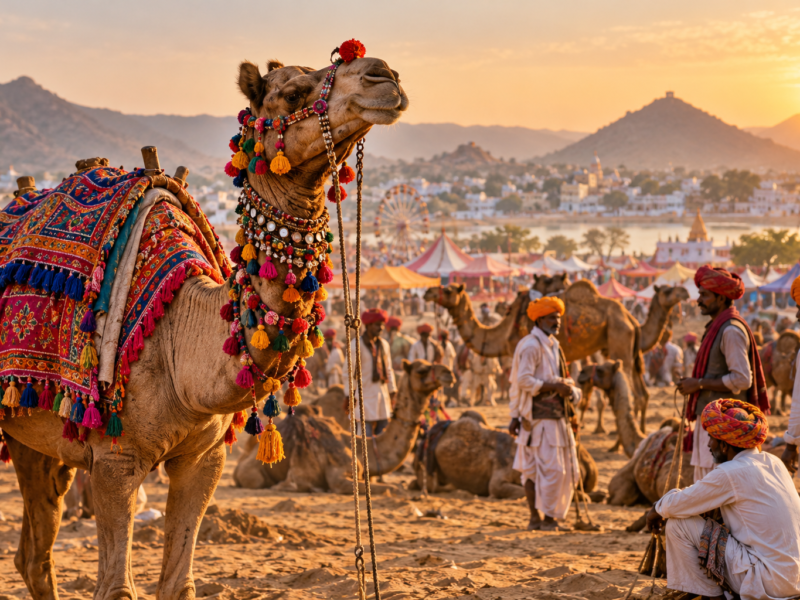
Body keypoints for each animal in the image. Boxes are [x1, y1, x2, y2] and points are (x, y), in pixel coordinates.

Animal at [1, 51, 409, 599]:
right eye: (293, 93)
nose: (383, 75)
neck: (179, 338)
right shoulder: (113, 463)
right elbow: (117, 589)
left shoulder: (205, 459)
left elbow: (179, 584)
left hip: (35, 434)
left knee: (35, 552)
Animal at [426, 280, 650, 430]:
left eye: (448, 289)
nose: (428, 291)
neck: (504, 331)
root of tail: (631, 319)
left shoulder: (517, 350)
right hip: (624, 347)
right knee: (642, 392)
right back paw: (638, 432)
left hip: (620, 339)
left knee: (631, 389)